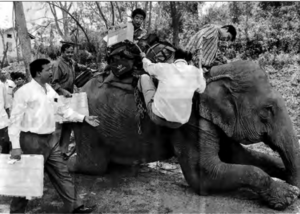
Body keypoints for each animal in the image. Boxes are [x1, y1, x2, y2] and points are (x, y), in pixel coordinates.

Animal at [69, 59, 300, 210]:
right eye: (268, 110)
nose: (294, 182)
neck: (211, 76)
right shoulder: (190, 122)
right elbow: (204, 173)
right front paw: (289, 195)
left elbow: (239, 156)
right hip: (89, 122)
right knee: (95, 166)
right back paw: (70, 163)